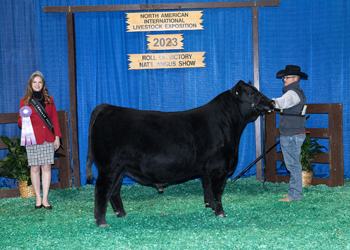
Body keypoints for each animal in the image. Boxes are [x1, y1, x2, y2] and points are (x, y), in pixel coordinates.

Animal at [86, 80, 274, 227]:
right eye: (250, 93)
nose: (272, 103)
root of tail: (106, 107)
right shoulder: (219, 168)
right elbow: (217, 191)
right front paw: (221, 213)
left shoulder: (207, 170)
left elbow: (208, 190)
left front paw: (210, 207)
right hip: (108, 167)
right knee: (101, 190)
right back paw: (101, 222)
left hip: (120, 169)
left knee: (114, 192)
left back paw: (122, 215)